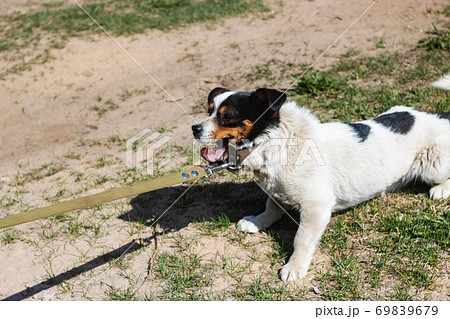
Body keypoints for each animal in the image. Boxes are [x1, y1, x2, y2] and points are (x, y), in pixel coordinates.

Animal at [192, 75, 450, 282]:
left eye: (228, 117)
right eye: (209, 111)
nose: (194, 128)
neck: (274, 143)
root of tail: (438, 116)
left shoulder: (317, 206)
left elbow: (301, 240)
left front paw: (294, 267)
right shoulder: (276, 188)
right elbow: (271, 205)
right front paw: (258, 221)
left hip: (433, 166)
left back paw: (441, 190)